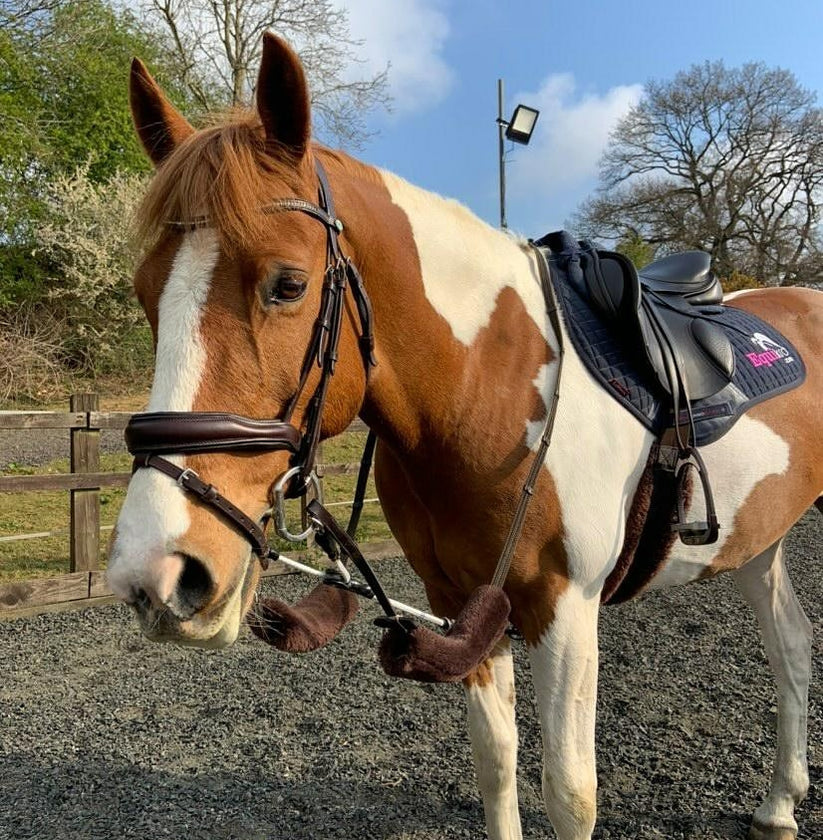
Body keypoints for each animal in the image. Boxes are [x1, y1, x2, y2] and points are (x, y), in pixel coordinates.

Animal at [107, 33, 822, 840]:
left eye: (287, 284)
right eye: (145, 293)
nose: (157, 573)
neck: (486, 389)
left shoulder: (563, 610)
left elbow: (569, 792)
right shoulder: (462, 605)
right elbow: (495, 760)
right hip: (757, 541)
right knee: (791, 648)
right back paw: (778, 804)